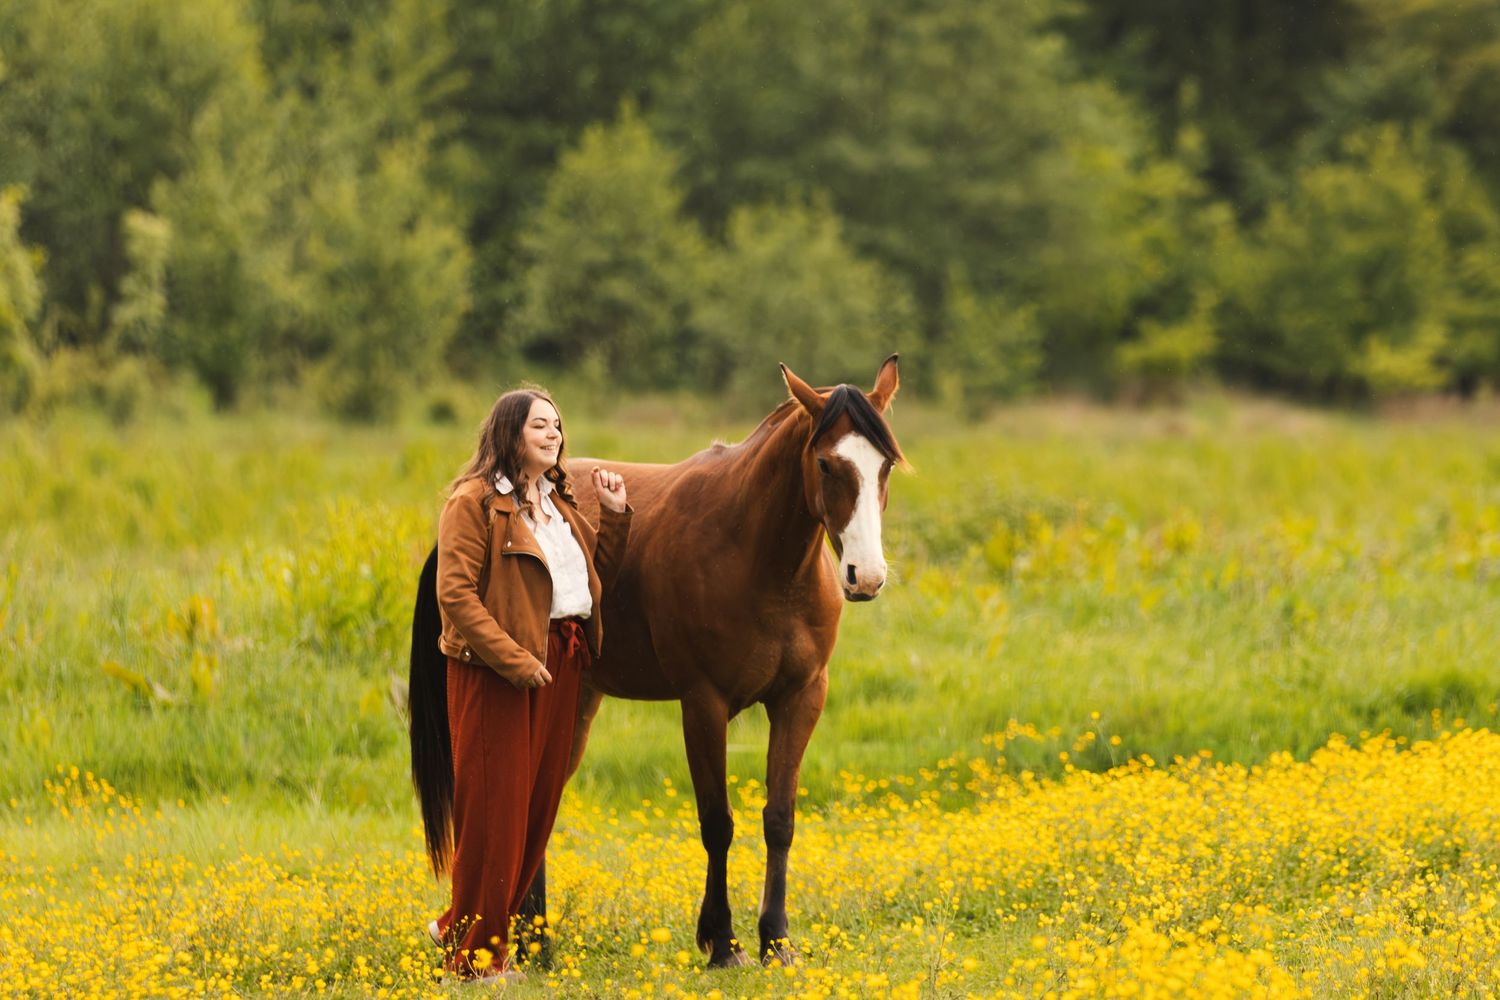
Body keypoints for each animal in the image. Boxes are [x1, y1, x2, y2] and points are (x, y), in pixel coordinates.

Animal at [409, 356, 904, 968]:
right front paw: (722, 942)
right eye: (826, 464)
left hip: (577, 704)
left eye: (884, 465)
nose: (867, 576)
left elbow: (779, 819)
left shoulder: (801, 698)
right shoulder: (704, 703)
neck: (758, 555)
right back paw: (516, 941)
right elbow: (717, 822)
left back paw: (535, 940)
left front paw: (777, 941)